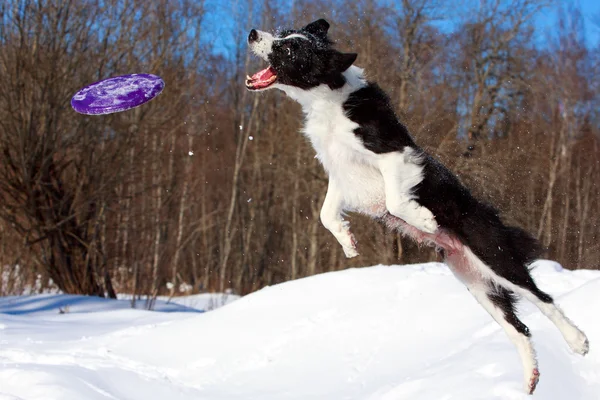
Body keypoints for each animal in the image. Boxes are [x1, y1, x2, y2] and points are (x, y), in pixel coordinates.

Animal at [246, 18, 588, 394]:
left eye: (290, 49)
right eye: (282, 34)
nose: (252, 34)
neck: (329, 98)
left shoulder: (394, 155)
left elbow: (396, 199)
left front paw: (424, 221)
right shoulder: (341, 173)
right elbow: (326, 214)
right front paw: (349, 243)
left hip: (493, 255)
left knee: (542, 298)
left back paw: (578, 341)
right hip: (475, 282)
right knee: (518, 328)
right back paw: (530, 378)